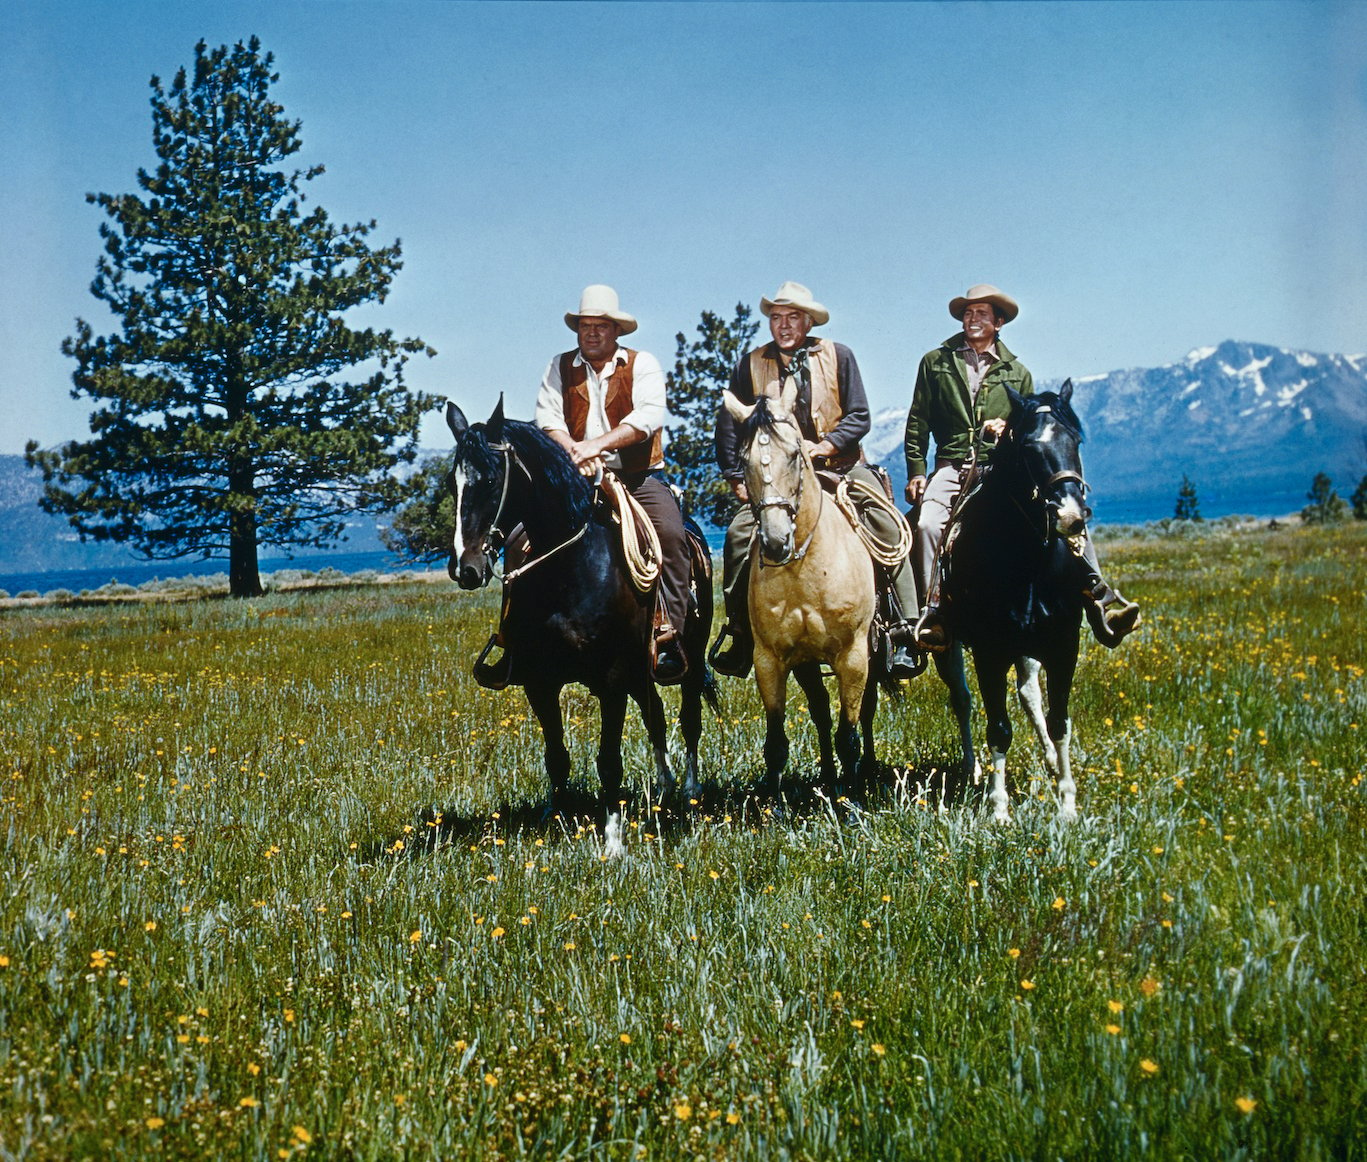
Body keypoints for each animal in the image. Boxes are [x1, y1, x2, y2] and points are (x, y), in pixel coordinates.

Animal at [442, 399, 716, 814]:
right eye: (451, 483)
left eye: (490, 480)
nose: (465, 566)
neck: (571, 570)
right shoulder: (539, 682)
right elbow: (557, 757)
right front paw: (555, 812)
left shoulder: (613, 679)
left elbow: (609, 761)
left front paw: (611, 818)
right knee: (655, 714)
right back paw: (664, 787)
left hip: (690, 658)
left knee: (689, 718)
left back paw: (690, 789)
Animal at [716, 380, 885, 798]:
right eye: (743, 459)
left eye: (795, 454)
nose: (776, 541)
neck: (804, 571)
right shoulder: (771, 660)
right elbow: (777, 742)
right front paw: (775, 804)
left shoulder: (853, 656)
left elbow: (849, 735)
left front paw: (850, 799)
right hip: (808, 663)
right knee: (821, 712)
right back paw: (826, 777)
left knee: (866, 710)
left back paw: (866, 771)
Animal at [945, 374, 1093, 820]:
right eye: (1029, 447)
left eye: (1076, 439)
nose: (1072, 516)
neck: (1028, 565)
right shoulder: (990, 653)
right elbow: (999, 728)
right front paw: (998, 809)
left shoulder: (1063, 647)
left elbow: (1060, 721)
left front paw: (1067, 802)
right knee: (963, 701)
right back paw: (972, 769)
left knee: (1029, 696)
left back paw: (1048, 762)